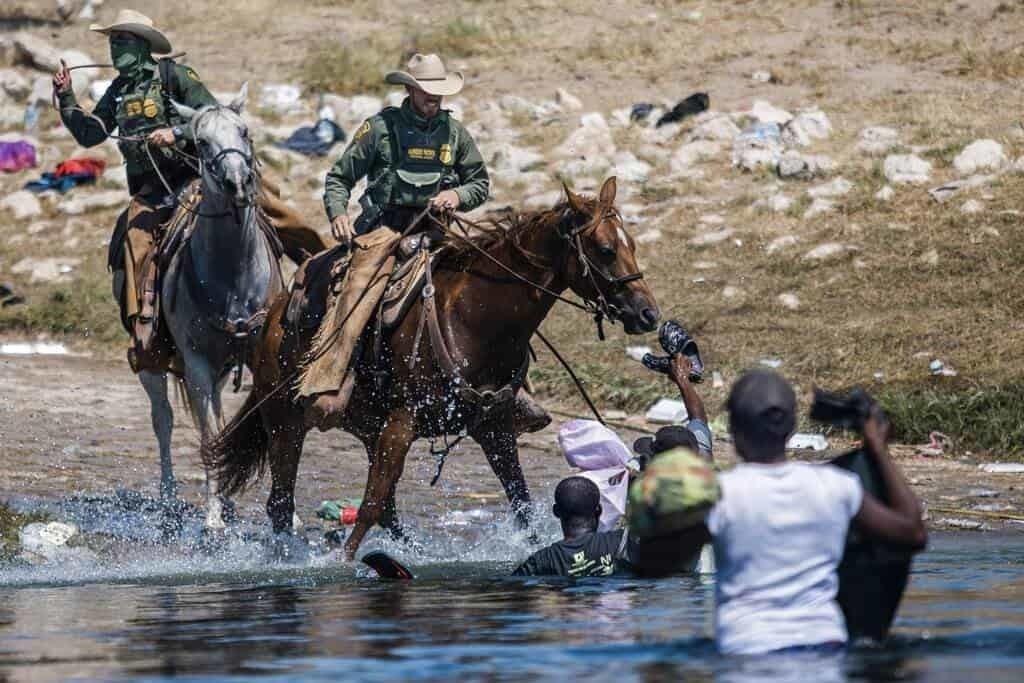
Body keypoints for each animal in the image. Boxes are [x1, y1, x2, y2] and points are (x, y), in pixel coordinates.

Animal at [137, 83, 284, 528]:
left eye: (245, 131)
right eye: (201, 142)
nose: (237, 183)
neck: (233, 276)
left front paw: (287, 518)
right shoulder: (197, 364)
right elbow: (207, 437)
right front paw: (213, 518)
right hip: (152, 361)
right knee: (163, 420)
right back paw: (171, 502)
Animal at [203, 178, 659, 561]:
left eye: (633, 245)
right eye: (605, 249)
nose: (648, 314)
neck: (475, 320)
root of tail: (272, 317)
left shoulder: (493, 427)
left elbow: (521, 501)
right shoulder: (403, 423)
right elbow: (369, 505)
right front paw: (343, 563)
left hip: (367, 427)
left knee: (383, 509)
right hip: (285, 420)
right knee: (282, 503)